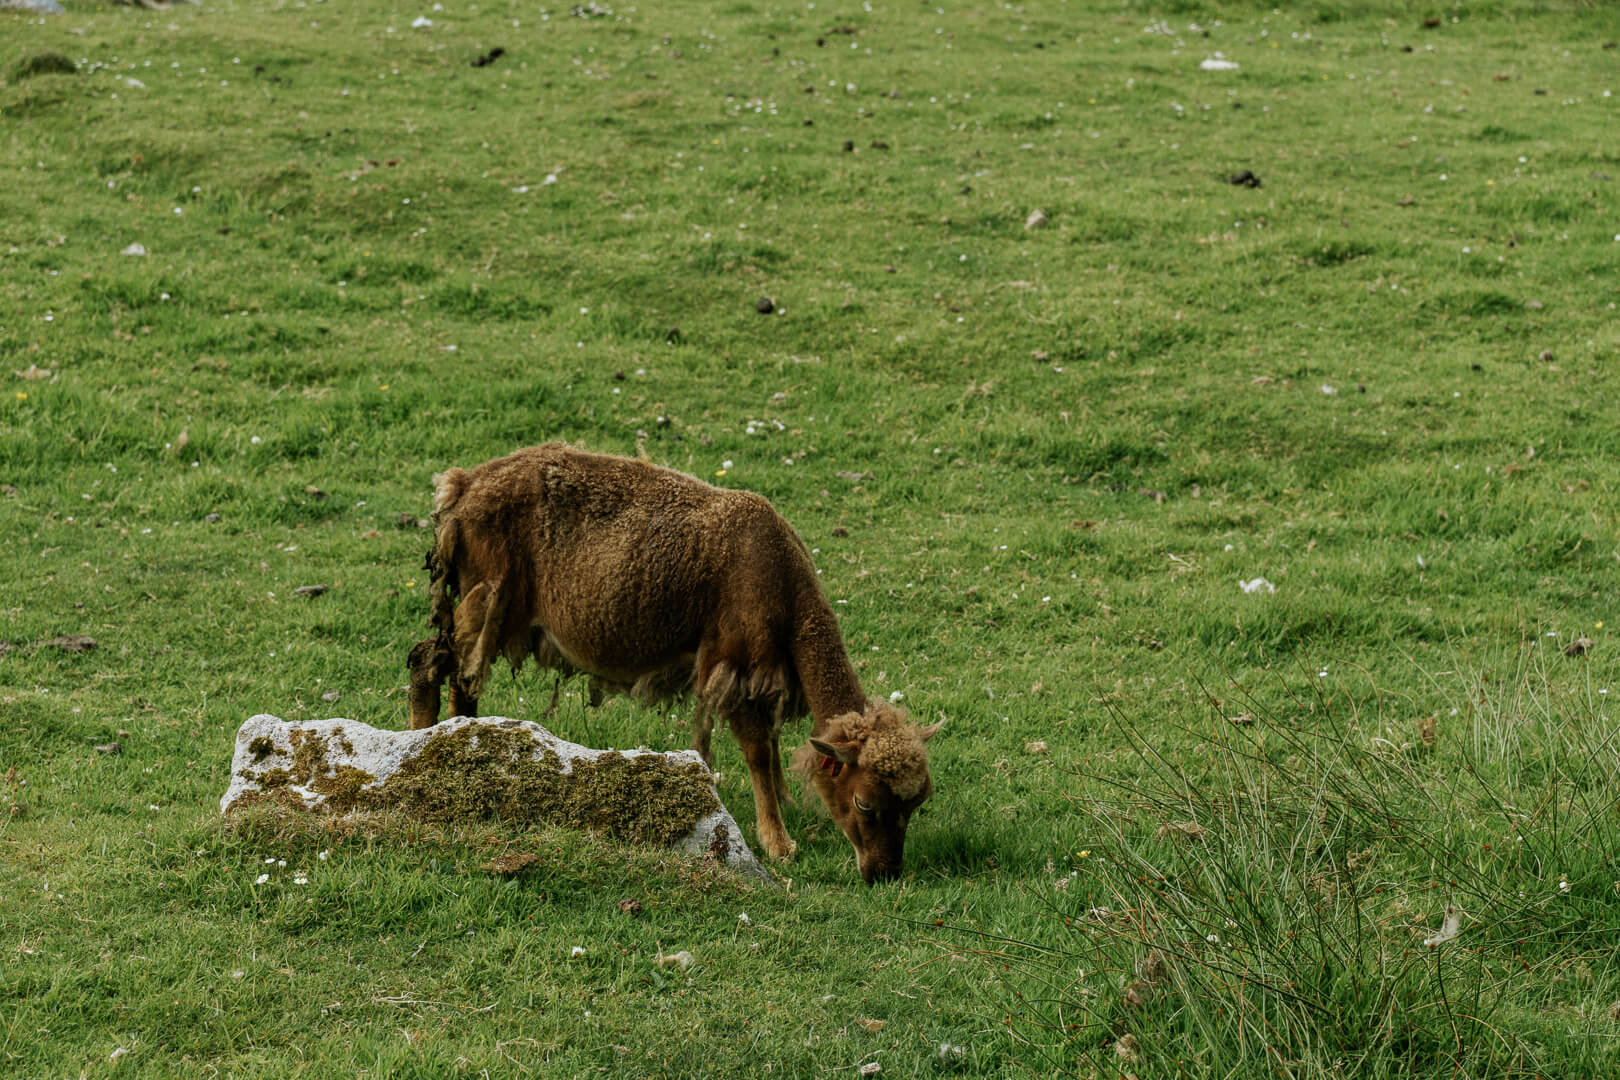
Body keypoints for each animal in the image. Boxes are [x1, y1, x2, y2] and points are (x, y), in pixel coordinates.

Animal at [398, 443, 946, 880]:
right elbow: (756, 750)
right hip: (487, 597)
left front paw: (783, 807)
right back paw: (425, 744)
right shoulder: (732, 662)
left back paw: (461, 738)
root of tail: (463, 485)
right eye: (863, 802)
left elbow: (769, 745)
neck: (781, 578)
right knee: (432, 663)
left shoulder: (761, 672)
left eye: (917, 803)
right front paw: (778, 842)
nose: (884, 873)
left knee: (457, 675)